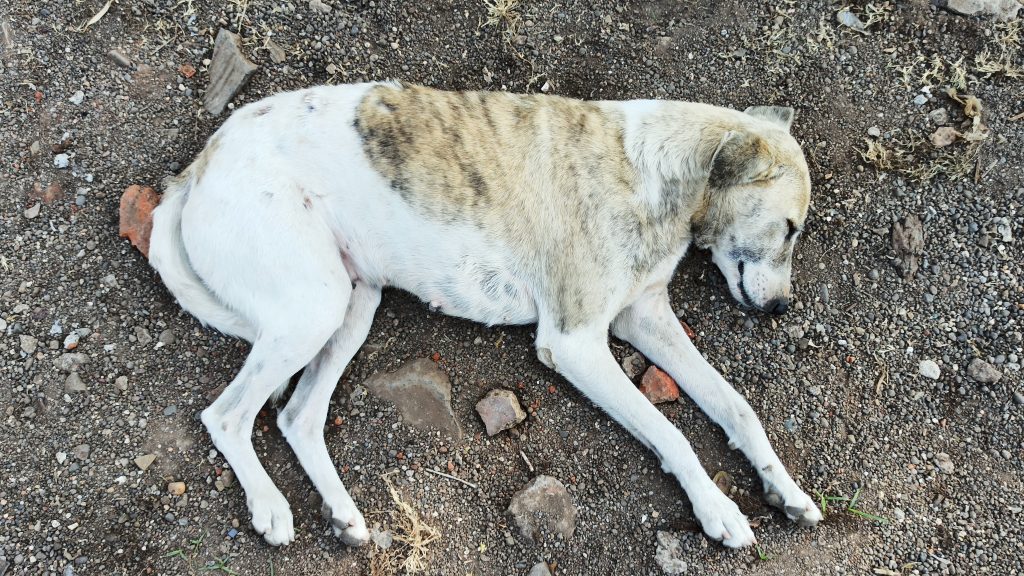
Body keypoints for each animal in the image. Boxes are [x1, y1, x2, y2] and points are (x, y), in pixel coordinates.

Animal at [148, 81, 823, 545]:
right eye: (790, 227)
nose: (780, 309)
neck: (654, 171)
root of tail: (199, 165)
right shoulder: (575, 342)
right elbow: (673, 432)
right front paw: (719, 510)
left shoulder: (643, 317)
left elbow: (736, 406)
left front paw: (784, 488)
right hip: (313, 308)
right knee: (226, 416)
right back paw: (269, 508)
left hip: (351, 303)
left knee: (298, 417)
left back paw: (344, 516)